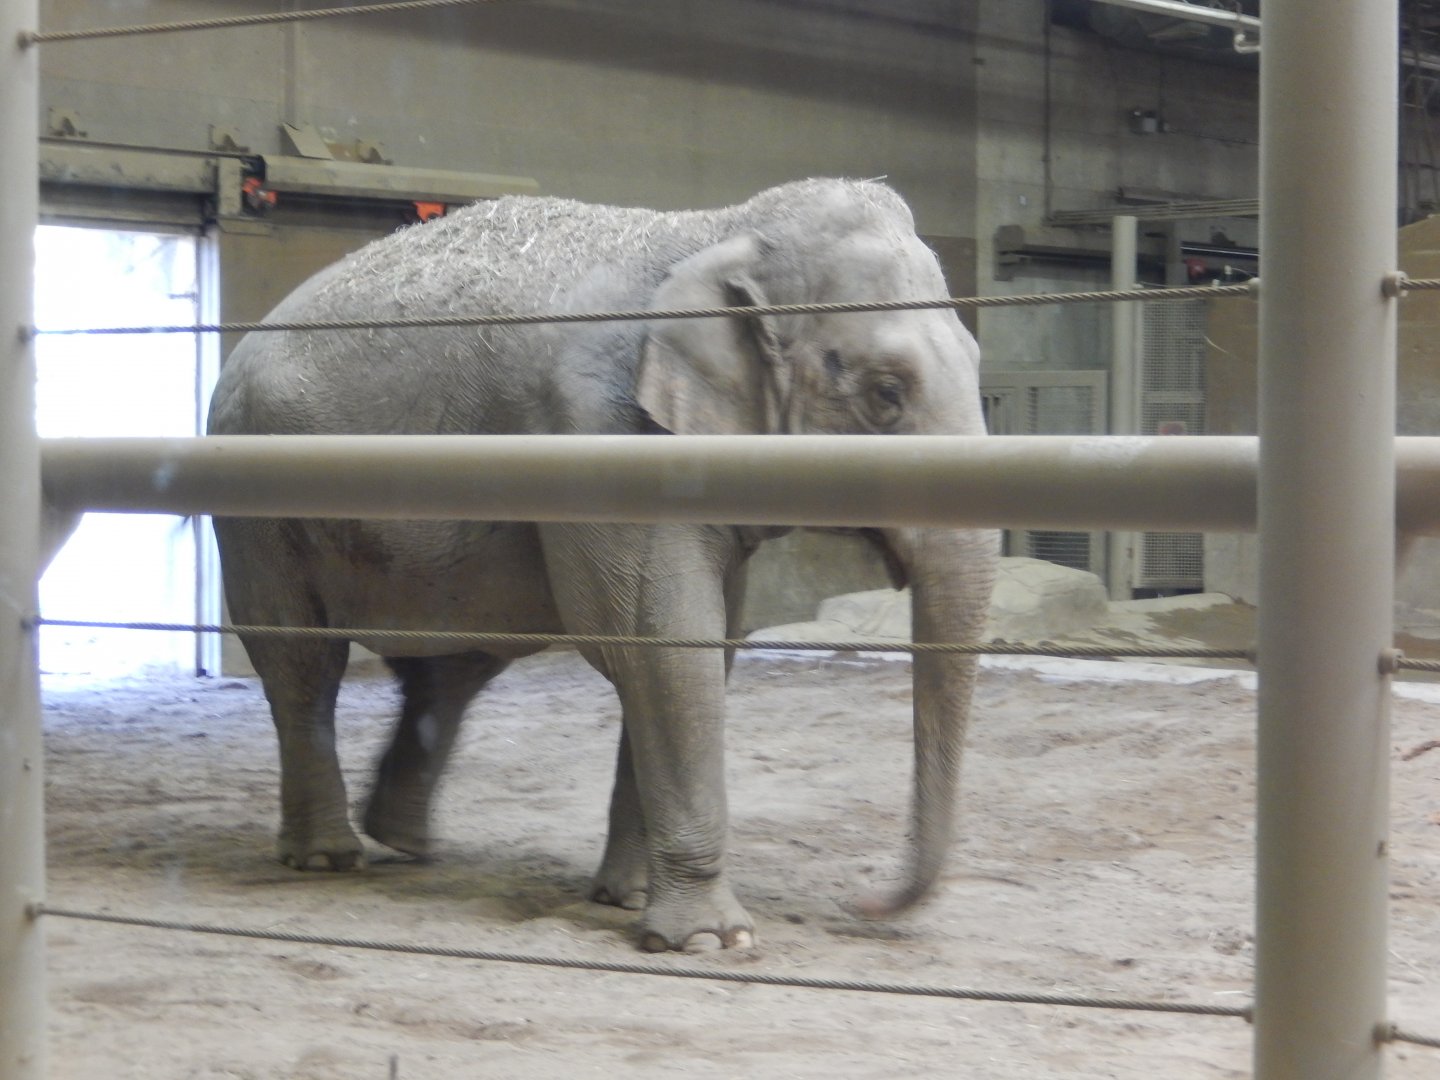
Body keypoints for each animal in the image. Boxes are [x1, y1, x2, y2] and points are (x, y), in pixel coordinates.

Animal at [206, 178, 998, 953]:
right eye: (887, 394)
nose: (864, 903)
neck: (717, 229)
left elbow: (701, 644)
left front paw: (631, 901)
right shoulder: (603, 430)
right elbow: (661, 645)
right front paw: (712, 940)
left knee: (455, 665)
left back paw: (407, 842)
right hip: (257, 507)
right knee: (302, 663)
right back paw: (328, 857)